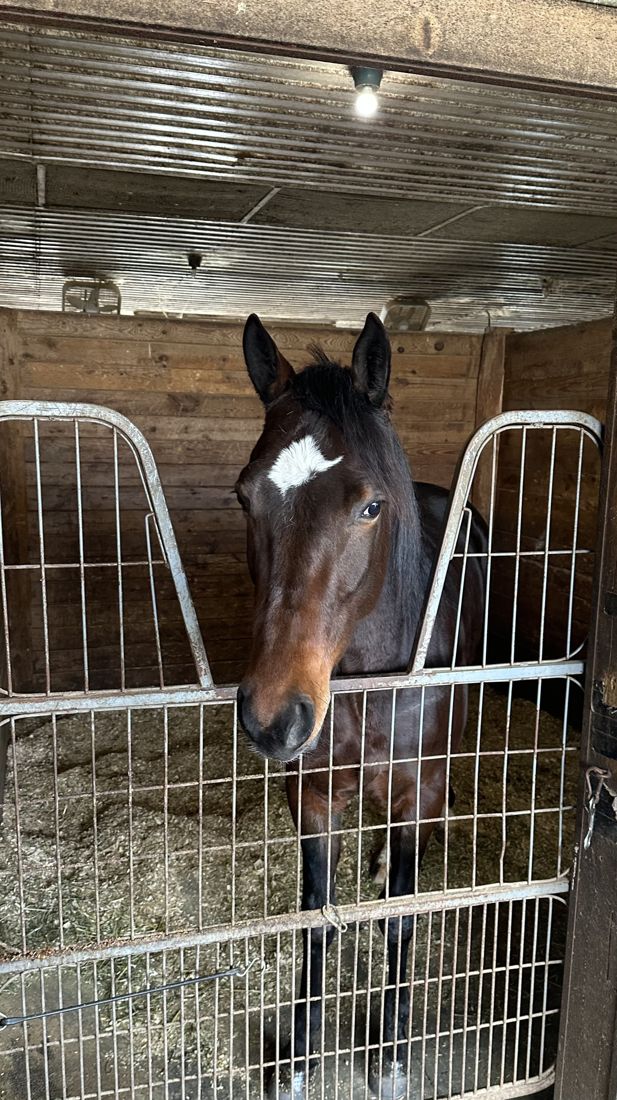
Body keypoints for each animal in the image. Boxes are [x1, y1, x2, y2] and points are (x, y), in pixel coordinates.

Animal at [235, 312, 487, 1099]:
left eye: (371, 506)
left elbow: (400, 919)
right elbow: (316, 918)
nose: (271, 717)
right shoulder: (311, 794)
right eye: (245, 496)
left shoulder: (414, 787)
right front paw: (298, 1057)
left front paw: (392, 1055)